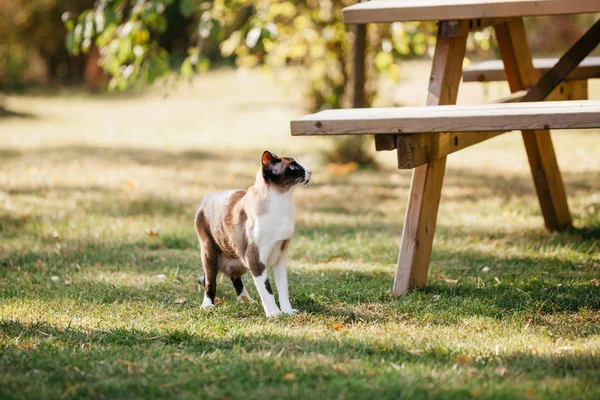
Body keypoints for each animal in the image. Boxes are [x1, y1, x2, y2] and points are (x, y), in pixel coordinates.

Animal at [195, 152, 312, 318]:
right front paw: (274, 314)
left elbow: (283, 289)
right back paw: (207, 305)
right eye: (293, 166)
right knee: (210, 282)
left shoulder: (281, 257)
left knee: (235, 277)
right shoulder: (255, 259)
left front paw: (288, 312)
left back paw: (247, 301)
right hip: (210, 254)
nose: (310, 171)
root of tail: (206, 198)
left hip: (239, 260)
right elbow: (267, 290)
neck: (282, 205)